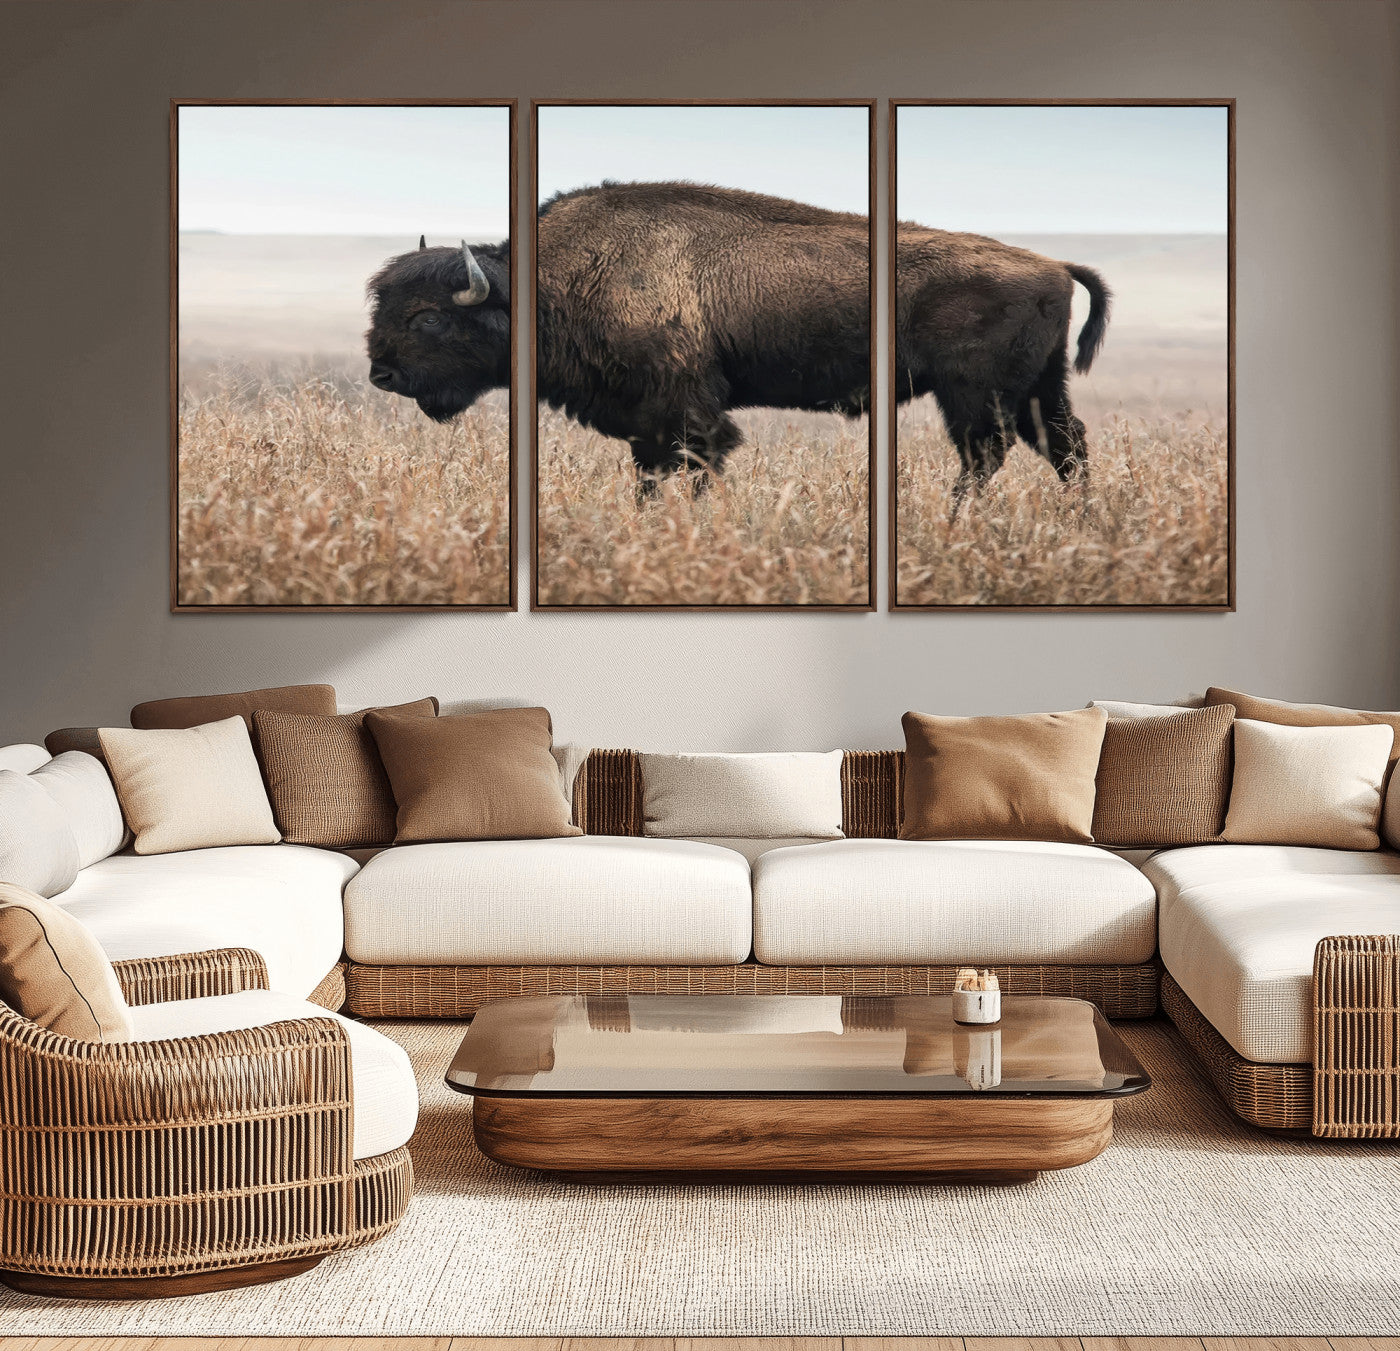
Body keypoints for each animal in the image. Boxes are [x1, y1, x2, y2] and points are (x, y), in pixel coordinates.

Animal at [366, 182, 1110, 498]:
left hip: (975, 395)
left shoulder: (685, 410)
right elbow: (650, 476)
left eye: (427, 317)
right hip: (1038, 388)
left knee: (986, 455)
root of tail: (1052, 264)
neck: (557, 278)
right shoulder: (648, 422)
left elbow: (695, 465)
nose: (381, 375)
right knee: (1065, 447)